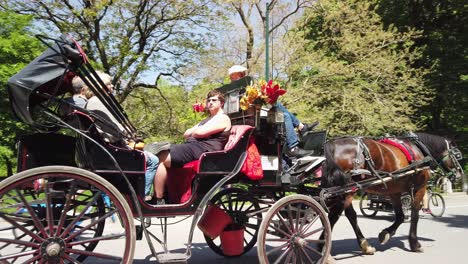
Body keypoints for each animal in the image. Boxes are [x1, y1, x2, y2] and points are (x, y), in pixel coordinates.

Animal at [320, 133, 462, 255]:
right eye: (457, 155)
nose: (460, 174)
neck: (419, 150)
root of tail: (331, 144)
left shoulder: (395, 192)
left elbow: (400, 216)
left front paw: (386, 234)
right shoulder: (420, 188)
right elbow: (414, 214)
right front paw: (414, 243)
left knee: (349, 215)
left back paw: (364, 245)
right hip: (346, 190)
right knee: (333, 216)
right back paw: (323, 246)